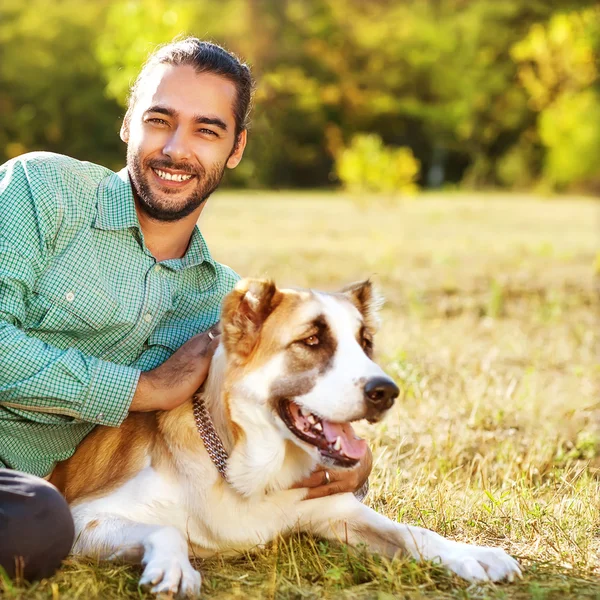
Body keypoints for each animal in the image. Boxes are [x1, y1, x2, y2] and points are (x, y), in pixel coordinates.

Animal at [50, 278, 520, 596]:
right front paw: (175, 568)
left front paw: (473, 555)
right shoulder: (85, 519)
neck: (247, 473)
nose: (386, 392)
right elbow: (169, 531)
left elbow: (414, 533)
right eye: (311, 340)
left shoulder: (336, 512)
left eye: (365, 342)